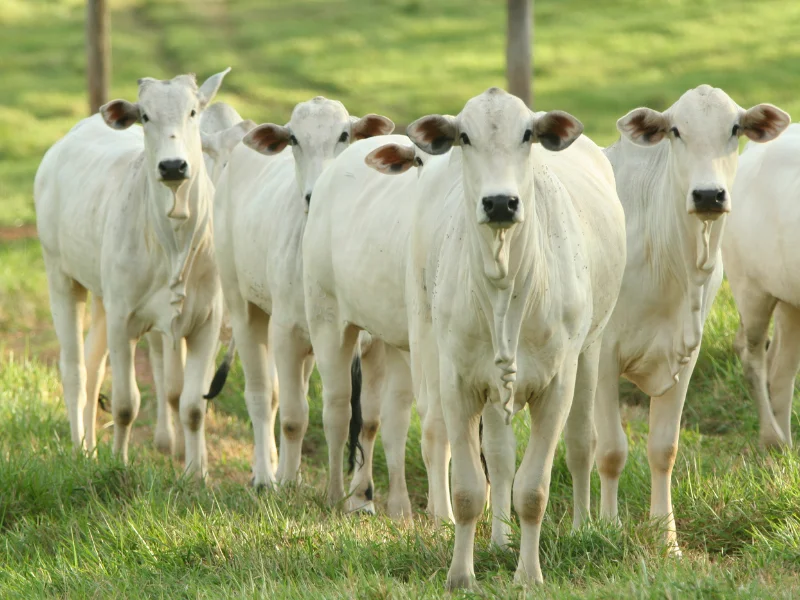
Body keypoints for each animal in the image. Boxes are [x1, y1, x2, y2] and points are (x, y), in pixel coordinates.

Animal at [37, 70, 231, 476]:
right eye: (144, 115)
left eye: (193, 111)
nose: (173, 166)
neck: (175, 243)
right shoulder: (123, 319)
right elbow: (127, 404)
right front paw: (120, 464)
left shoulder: (207, 323)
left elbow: (193, 406)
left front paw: (197, 475)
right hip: (60, 277)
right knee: (75, 371)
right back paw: (79, 449)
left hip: (101, 300)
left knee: (93, 367)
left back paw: (90, 450)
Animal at [209, 97, 390, 488]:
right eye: (293, 138)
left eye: (344, 134)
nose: (315, 193)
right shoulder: (286, 333)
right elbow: (293, 418)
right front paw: (289, 484)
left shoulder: (372, 345)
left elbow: (369, 423)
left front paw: (362, 495)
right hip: (244, 308)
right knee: (262, 396)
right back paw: (265, 476)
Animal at [310, 89, 628, 592]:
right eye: (463, 136)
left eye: (528, 134)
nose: (499, 203)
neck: (505, 286)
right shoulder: (457, 380)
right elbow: (467, 488)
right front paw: (461, 574)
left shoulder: (556, 383)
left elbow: (533, 489)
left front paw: (529, 575)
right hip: (337, 324)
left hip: (590, 353)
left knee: (578, 442)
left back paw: (576, 527)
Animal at [592, 84, 788, 552]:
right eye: (675, 131)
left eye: (735, 128)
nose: (708, 195)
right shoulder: (603, 355)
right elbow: (611, 450)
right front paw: (608, 529)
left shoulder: (684, 355)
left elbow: (663, 448)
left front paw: (668, 541)